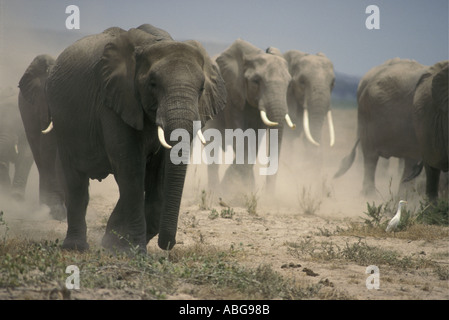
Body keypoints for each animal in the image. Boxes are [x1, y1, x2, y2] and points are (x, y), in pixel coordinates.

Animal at [45, 25, 226, 252]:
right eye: (153, 84)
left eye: (201, 89)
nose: (168, 245)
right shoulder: (114, 100)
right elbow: (130, 167)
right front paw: (134, 251)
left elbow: (158, 174)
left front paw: (114, 244)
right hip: (62, 124)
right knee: (76, 183)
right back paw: (75, 247)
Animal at [206, 39, 294, 196]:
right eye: (256, 81)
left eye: (289, 84)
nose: (269, 195)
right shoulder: (231, 93)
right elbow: (240, 138)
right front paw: (232, 189)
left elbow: (255, 141)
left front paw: (243, 188)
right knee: (212, 145)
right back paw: (214, 191)